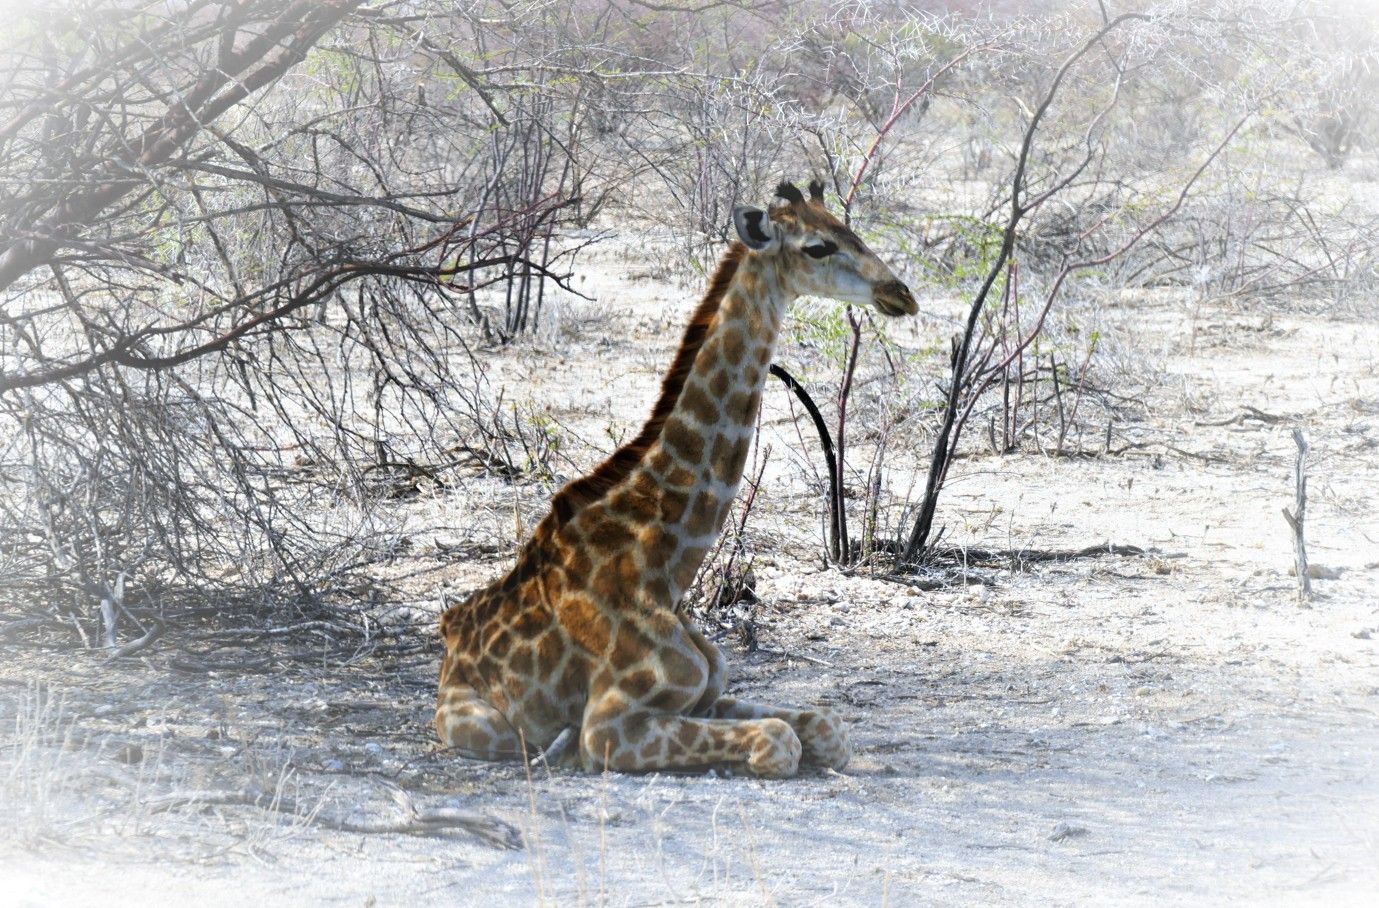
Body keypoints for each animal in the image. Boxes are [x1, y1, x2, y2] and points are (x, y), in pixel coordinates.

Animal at [436, 179, 918, 778]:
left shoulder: (708, 692)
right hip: (484, 725)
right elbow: (779, 740)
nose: (901, 293)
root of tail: (450, 638)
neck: (664, 568)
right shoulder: (608, 725)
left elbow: (827, 729)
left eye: (849, 230)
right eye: (817, 248)